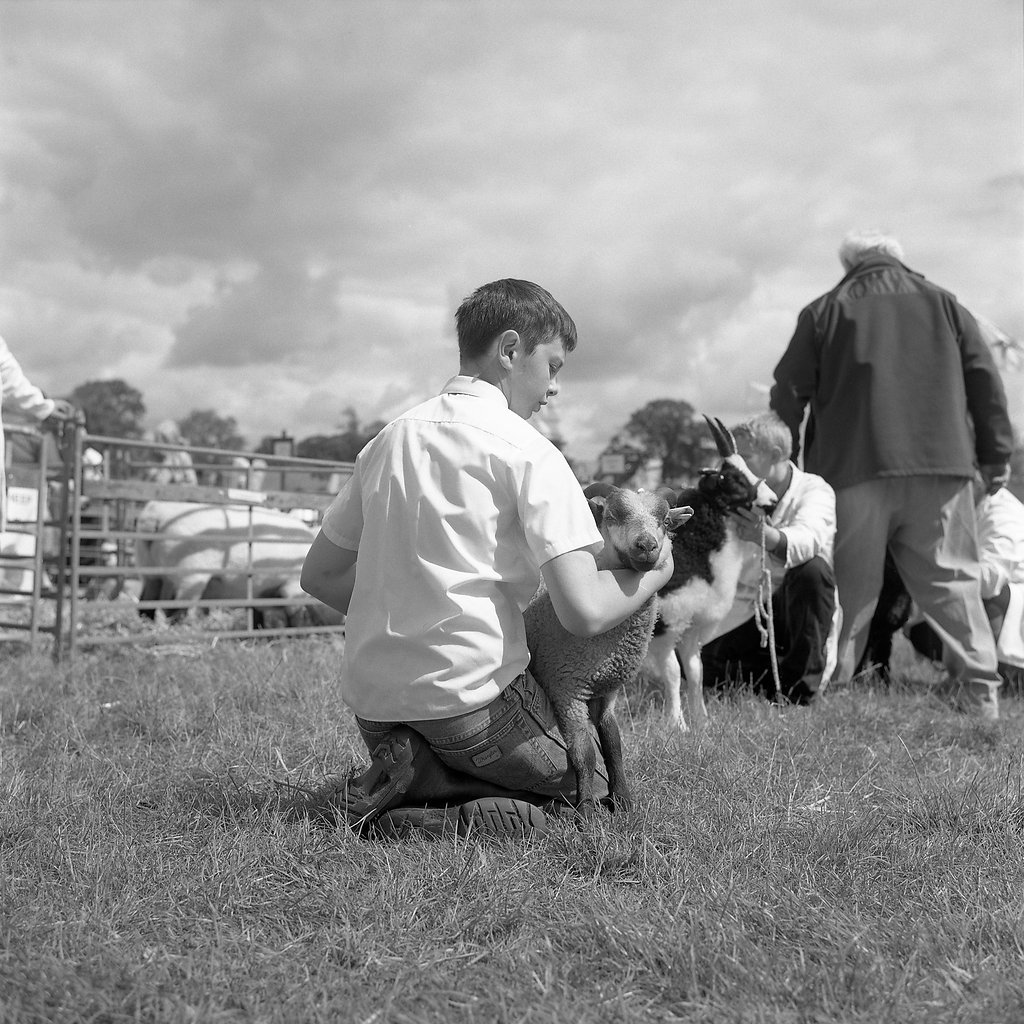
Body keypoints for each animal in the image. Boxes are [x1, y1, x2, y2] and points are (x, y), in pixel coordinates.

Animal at [524, 481, 692, 815]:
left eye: (666, 522)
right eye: (613, 516)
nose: (646, 545)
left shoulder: (607, 693)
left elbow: (614, 745)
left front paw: (624, 803)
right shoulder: (566, 690)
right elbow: (584, 754)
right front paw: (587, 813)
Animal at [647, 417, 774, 737]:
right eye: (733, 479)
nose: (773, 501)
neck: (692, 547)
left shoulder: (694, 624)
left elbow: (696, 672)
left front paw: (702, 720)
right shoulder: (666, 624)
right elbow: (673, 673)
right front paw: (677, 725)